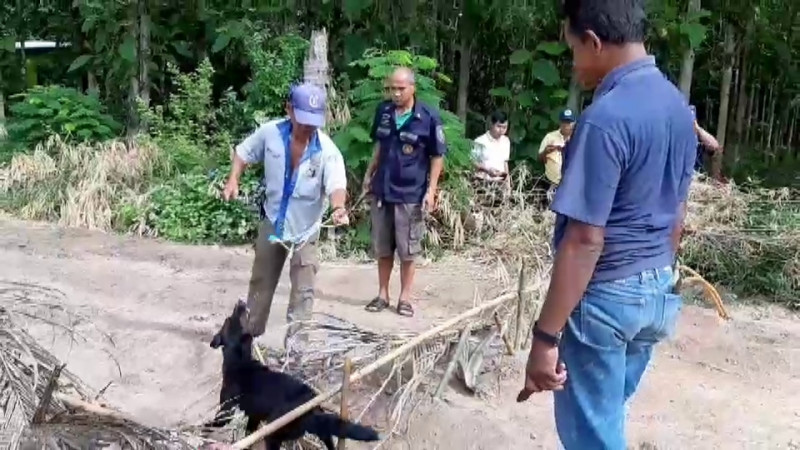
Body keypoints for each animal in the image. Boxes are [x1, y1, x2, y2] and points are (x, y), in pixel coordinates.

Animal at [209, 298, 378, 450]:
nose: (241, 302)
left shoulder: (227, 406)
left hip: (274, 433)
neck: (240, 360)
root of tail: (309, 411)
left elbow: (220, 420)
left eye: (228, 320)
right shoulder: (253, 416)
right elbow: (249, 432)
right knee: (329, 440)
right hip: (320, 429)